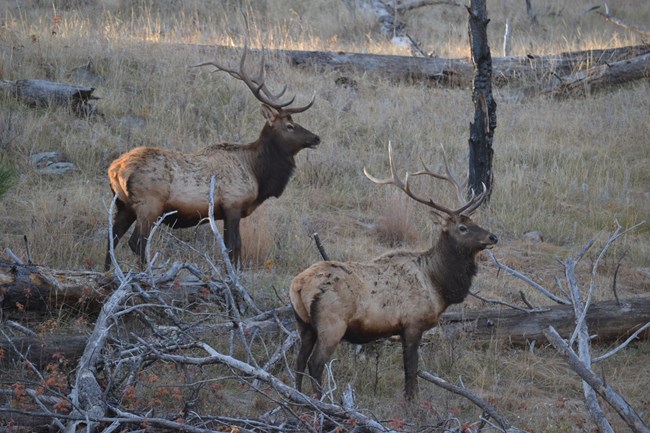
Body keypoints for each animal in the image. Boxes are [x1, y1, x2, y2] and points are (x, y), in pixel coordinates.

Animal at [102, 41, 320, 270]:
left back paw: (108, 272)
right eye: (290, 126)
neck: (257, 173)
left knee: (112, 237)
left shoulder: (224, 212)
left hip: (124, 205)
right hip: (149, 204)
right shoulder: (233, 204)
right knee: (136, 242)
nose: (316, 137)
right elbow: (234, 248)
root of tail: (115, 169)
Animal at [288, 143, 496, 400]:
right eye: (463, 227)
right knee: (315, 363)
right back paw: (321, 402)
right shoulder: (413, 323)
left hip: (303, 323)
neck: (438, 285)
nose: (493, 237)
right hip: (331, 323)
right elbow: (411, 372)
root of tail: (297, 285)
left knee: (298, 362)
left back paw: (297, 399)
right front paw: (412, 403)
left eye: (474, 222)